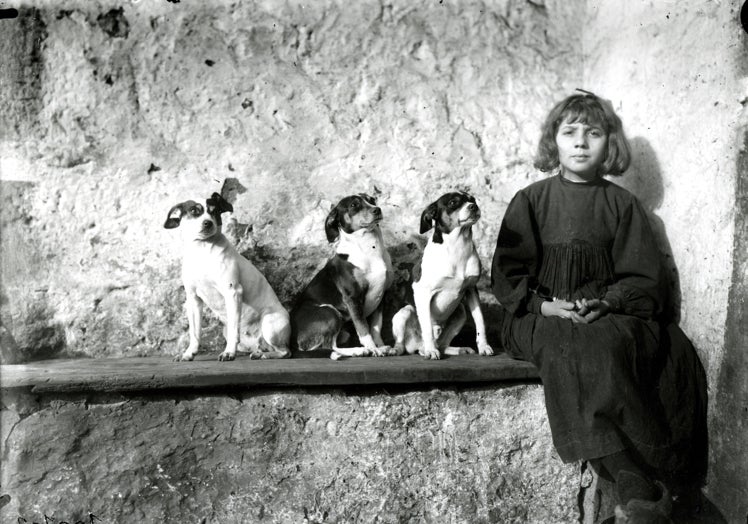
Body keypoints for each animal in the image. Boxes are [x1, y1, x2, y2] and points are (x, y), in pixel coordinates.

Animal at [164, 191, 290, 360]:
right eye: (194, 211)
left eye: (215, 211)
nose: (208, 223)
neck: (202, 252)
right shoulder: (193, 299)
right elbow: (195, 333)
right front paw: (189, 353)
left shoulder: (233, 292)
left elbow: (233, 331)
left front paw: (228, 352)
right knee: (259, 347)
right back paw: (259, 352)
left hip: (270, 325)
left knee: (285, 351)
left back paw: (265, 355)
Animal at [292, 192, 398, 360]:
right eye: (354, 205)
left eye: (372, 199)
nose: (377, 210)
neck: (370, 248)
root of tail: (292, 343)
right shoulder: (352, 297)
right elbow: (363, 328)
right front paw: (373, 349)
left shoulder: (381, 297)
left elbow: (375, 327)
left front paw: (381, 347)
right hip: (330, 312)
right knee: (329, 346)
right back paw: (358, 351)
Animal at [392, 191, 496, 360]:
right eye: (453, 202)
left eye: (473, 200)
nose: (473, 207)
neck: (457, 246)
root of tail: (417, 345)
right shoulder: (423, 293)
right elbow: (427, 326)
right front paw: (431, 351)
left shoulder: (472, 290)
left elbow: (480, 321)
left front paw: (484, 346)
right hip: (404, 313)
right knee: (404, 344)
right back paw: (410, 349)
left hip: (461, 312)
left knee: (442, 346)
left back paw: (456, 349)